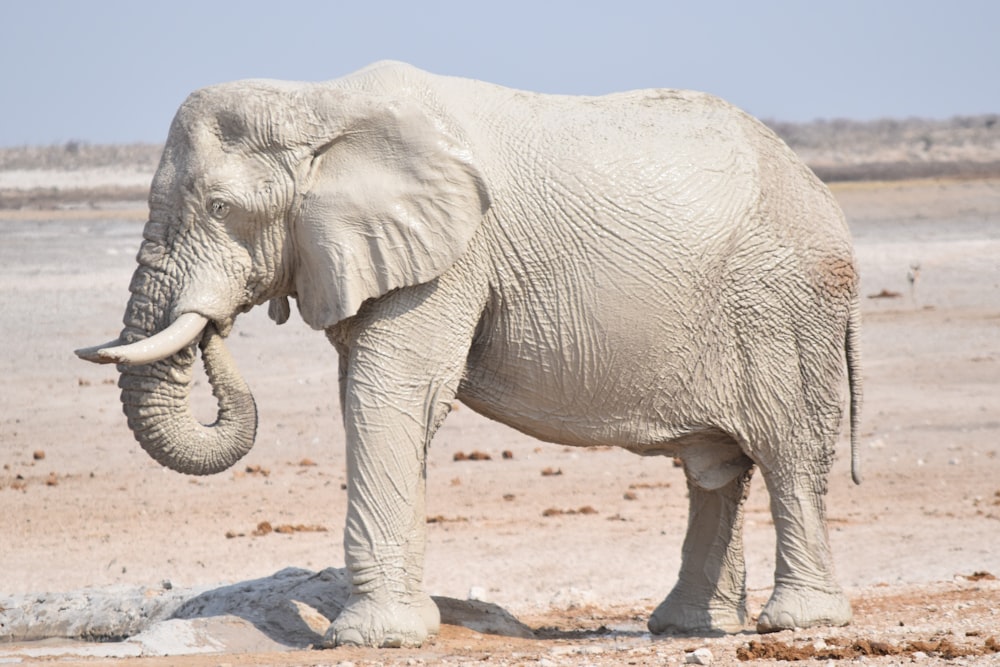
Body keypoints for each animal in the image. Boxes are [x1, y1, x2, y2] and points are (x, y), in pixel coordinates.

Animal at [76, 61, 860, 648]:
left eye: (220, 208)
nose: (217, 328)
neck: (318, 101)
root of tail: (821, 192)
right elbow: (374, 392)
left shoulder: (451, 257)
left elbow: (388, 391)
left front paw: (371, 638)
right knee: (717, 469)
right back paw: (685, 627)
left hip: (784, 305)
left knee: (787, 451)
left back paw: (794, 623)